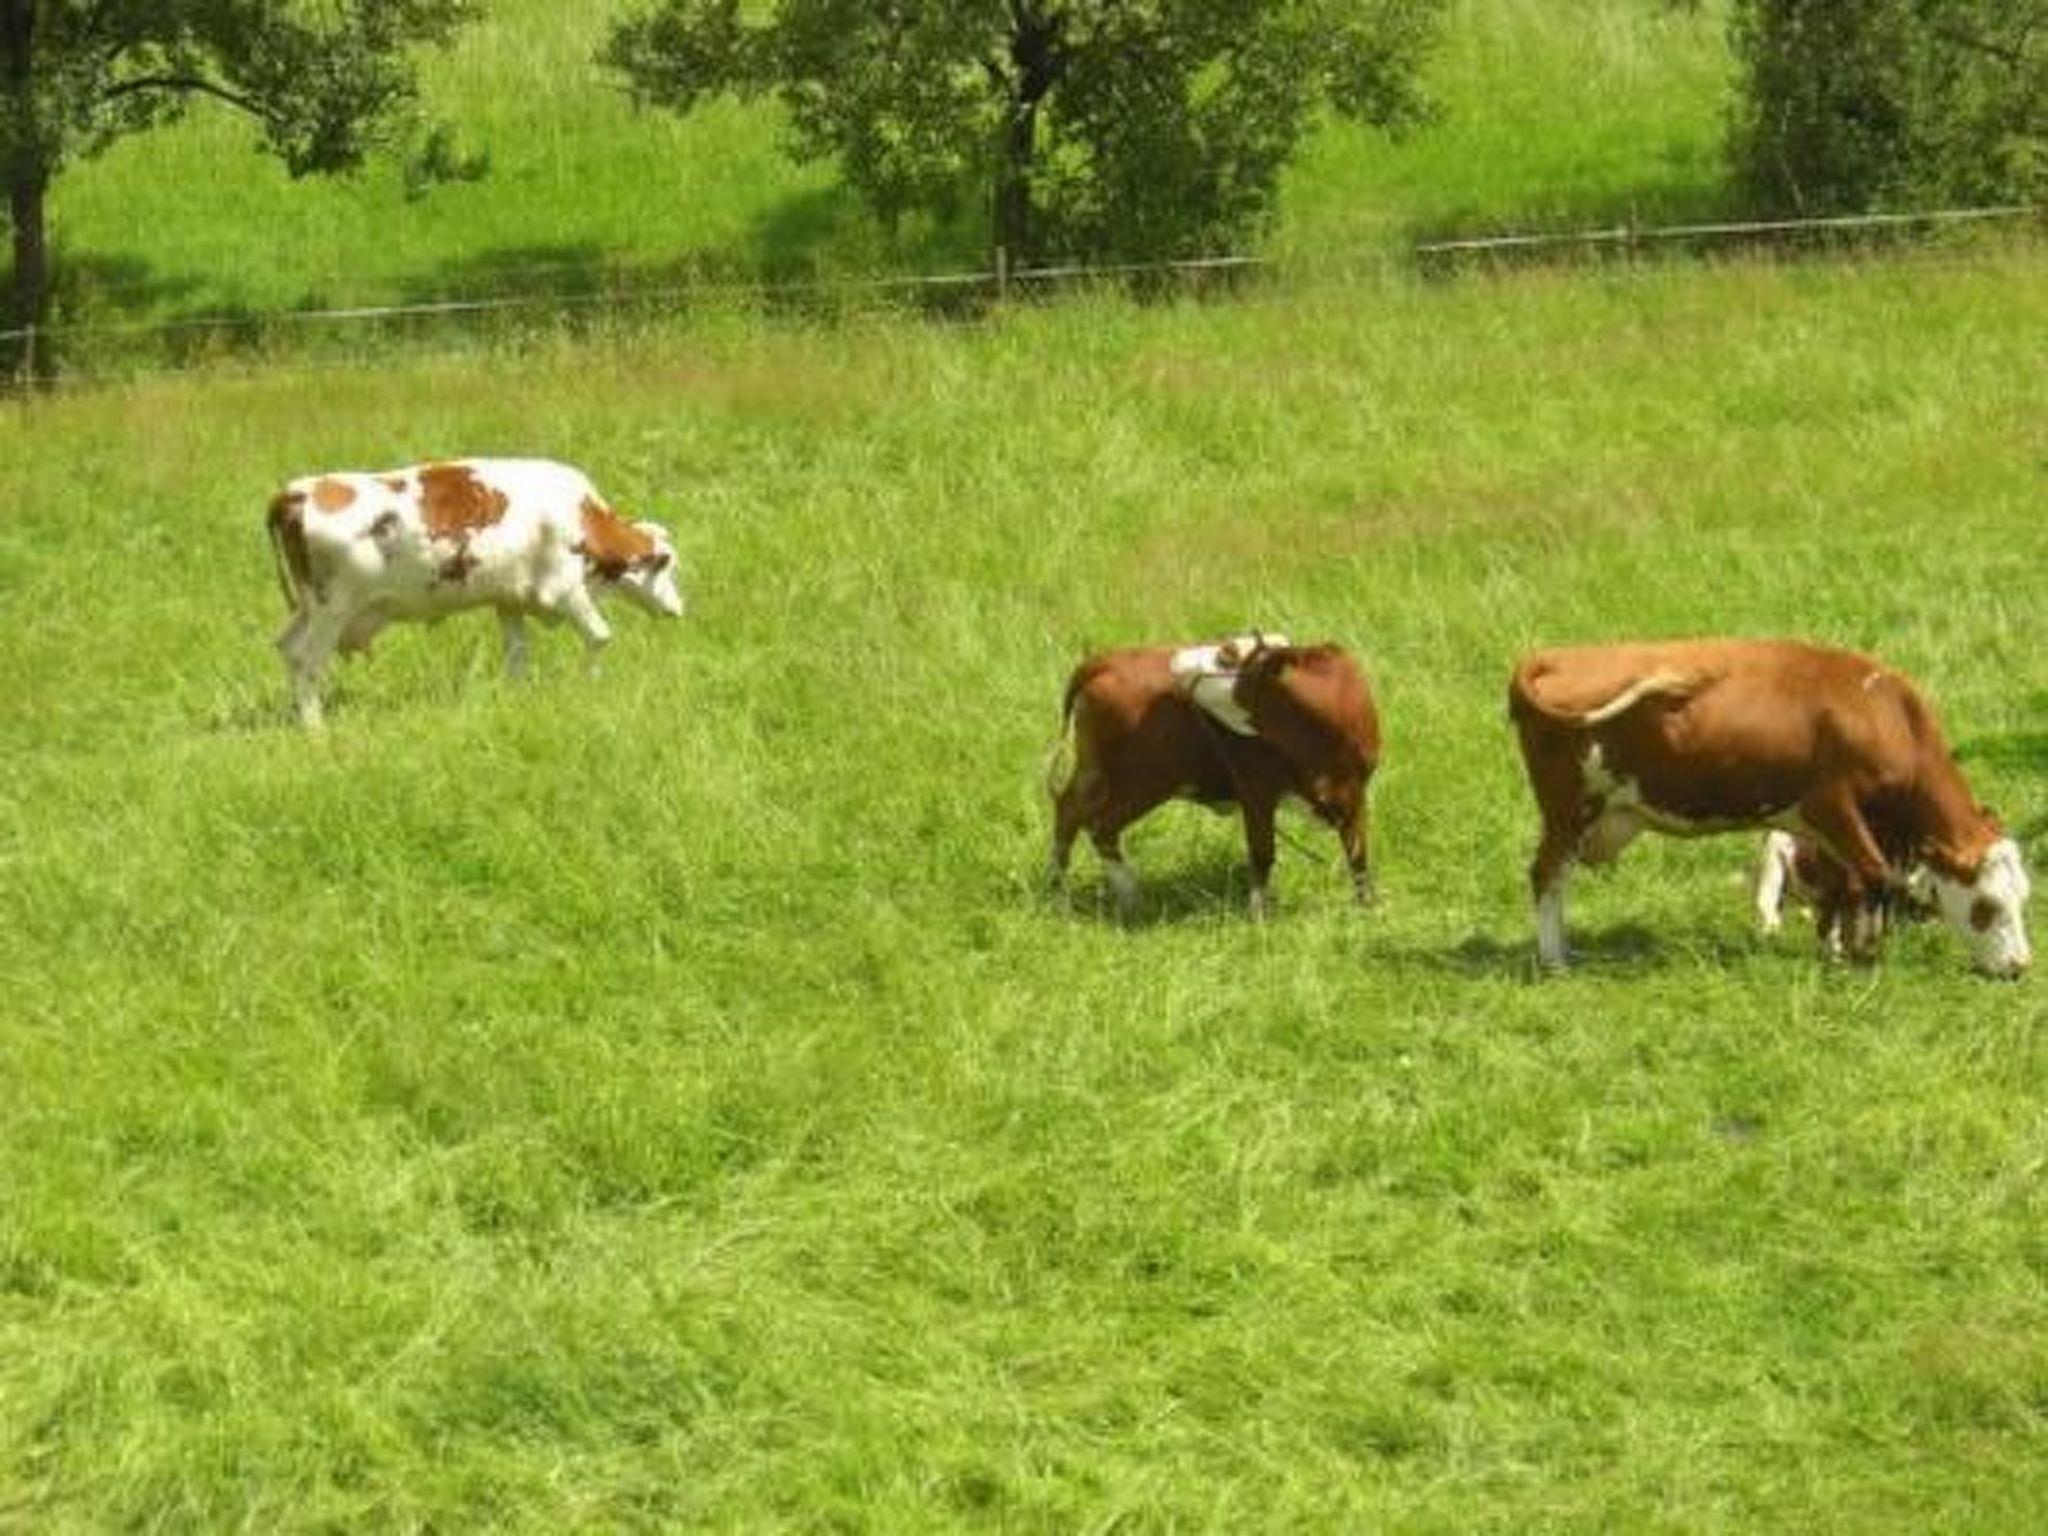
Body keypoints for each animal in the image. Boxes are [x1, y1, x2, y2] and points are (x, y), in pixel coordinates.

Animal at [266, 458, 683, 727]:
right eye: (667, 565)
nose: (678, 609)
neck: (582, 517)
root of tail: (297, 493)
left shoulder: (510, 599)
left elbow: (517, 654)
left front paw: (517, 698)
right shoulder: (564, 588)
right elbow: (600, 636)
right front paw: (590, 686)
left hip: (307, 608)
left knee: (288, 648)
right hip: (333, 609)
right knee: (309, 660)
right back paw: (316, 729)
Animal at [1049, 635, 1381, 919]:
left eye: (1227, 653)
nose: (1176, 660)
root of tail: (1106, 660)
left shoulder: (1355, 793)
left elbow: (1358, 853)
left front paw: (1368, 908)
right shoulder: (1257, 792)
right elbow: (1262, 853)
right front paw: (1258, 916)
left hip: (1096, 773)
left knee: (1069, 811)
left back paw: (1059, 889)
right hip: (1140, 782)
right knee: (1100, 826)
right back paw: (1130, 898)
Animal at [1507, 639, 2031, 977]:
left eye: (2022, 897)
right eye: (1986, 905)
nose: (2021, 967)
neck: (1883, 715)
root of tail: (1551, 657)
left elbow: (1848, 885)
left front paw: (1836, 950)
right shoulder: (1831, 806)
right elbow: (1874, 876)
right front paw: (1864, 954)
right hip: (1569, 811)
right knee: (1546, 875)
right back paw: (1555, 960)